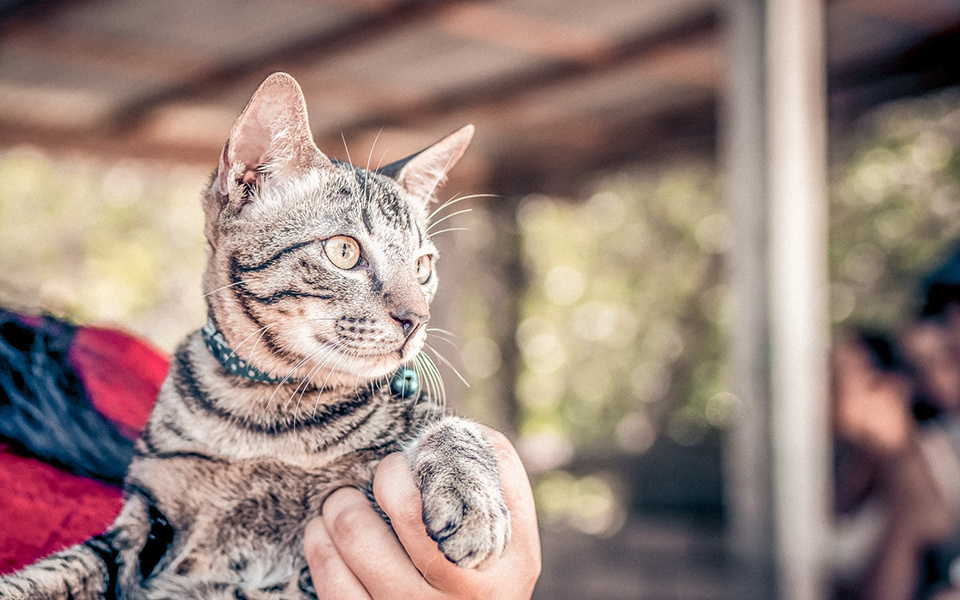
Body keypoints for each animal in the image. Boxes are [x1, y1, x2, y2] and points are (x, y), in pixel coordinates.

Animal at [0, 72, 510, 596]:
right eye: (344, 251)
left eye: (422, 266)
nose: (416, 318)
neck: (265, 418)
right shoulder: (144, 520)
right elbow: (53, 573)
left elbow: (452, 424)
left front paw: (472, 498)